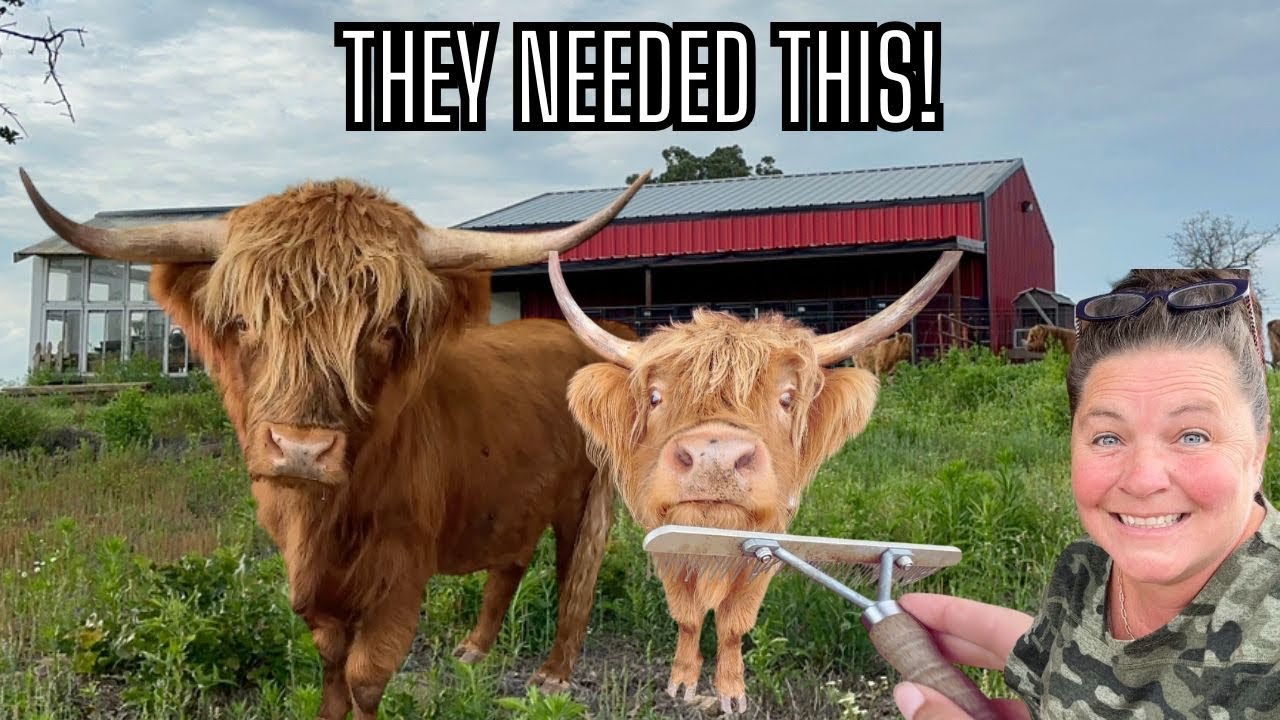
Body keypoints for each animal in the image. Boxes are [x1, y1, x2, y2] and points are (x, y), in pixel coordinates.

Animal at [20, 168, 649, 720]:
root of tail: (610, 334)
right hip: (516, 495)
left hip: (589, 496)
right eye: (245, 322)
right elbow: (328, 661)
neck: (323, 518)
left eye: (384, 330)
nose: (301, 449)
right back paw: (474, 648)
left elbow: (366, 675)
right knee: (512, 559)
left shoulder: (401, 574)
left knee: (578, 570)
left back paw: (554, 674)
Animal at [546, 249, 961, 714]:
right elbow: (687, 616)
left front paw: (731, 693)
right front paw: (682, 684)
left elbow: (734, 623)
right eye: (655, 397)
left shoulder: (767, 543)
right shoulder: (667, 538)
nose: (715, 459)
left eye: (787, 398)